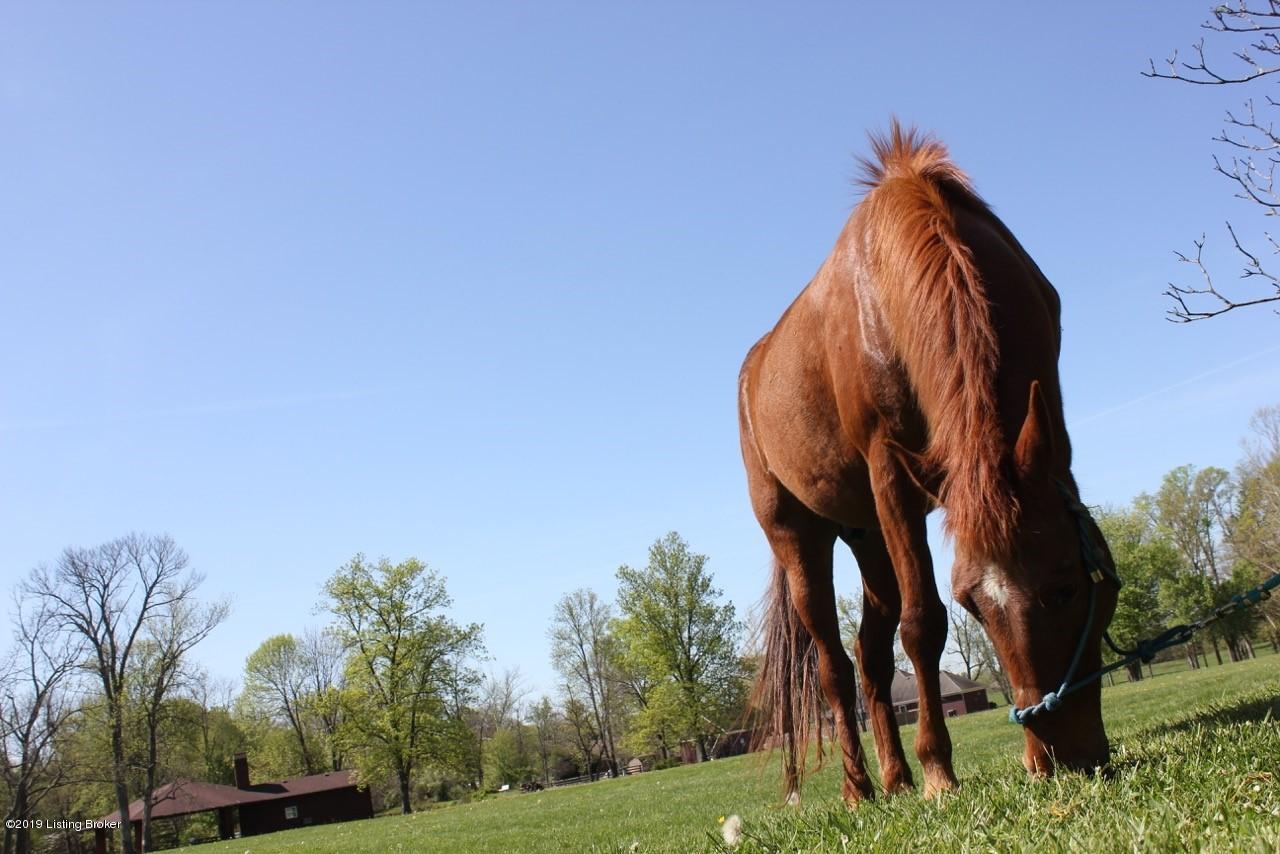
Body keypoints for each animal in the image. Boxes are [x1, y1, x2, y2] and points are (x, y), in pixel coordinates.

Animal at [738, 123, 1118, 806]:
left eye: (1067, 585)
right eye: (974, 604)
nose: (1061, 756)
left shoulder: (1047, 422)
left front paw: (927, 769)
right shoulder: (891, 470)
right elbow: (923, 625)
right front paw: (940, 770)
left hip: (868, 538)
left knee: (869, 656)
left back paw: (893, 776)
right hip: (800, 538)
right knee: (834, 666)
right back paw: (859, 787)